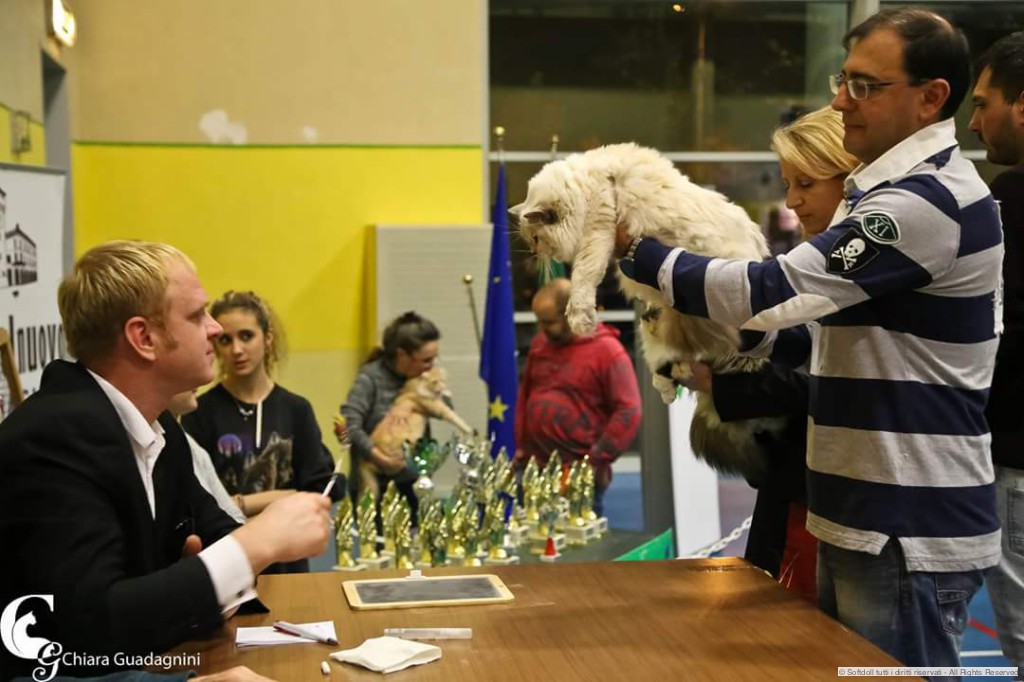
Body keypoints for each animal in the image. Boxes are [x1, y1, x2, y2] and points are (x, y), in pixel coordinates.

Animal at [511, 142, 781, 481]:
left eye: (536, 238)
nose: (535, 253)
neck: (586, 185)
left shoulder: (599, 231)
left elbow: (583, 278)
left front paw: (581, 321)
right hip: (662, 323)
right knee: (675, 364)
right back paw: (670, 381)